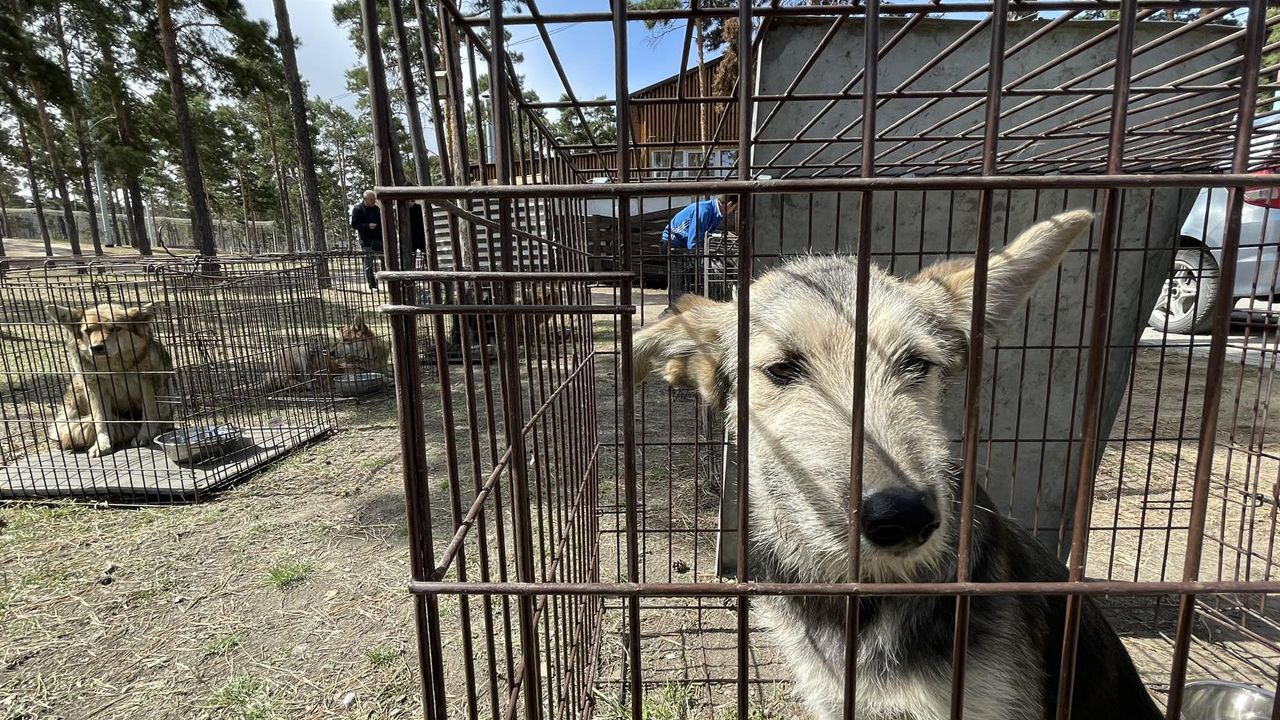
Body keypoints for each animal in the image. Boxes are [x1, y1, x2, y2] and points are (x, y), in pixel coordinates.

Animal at [45, 299, 176, 456]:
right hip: (78, 389)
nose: (96, 348)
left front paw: (145, 436)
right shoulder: (95, 388)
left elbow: (149, 413)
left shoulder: (147, 382)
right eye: (87, 331)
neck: (114, 368)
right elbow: (101, 420)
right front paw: (102, 445)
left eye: (115, 328)